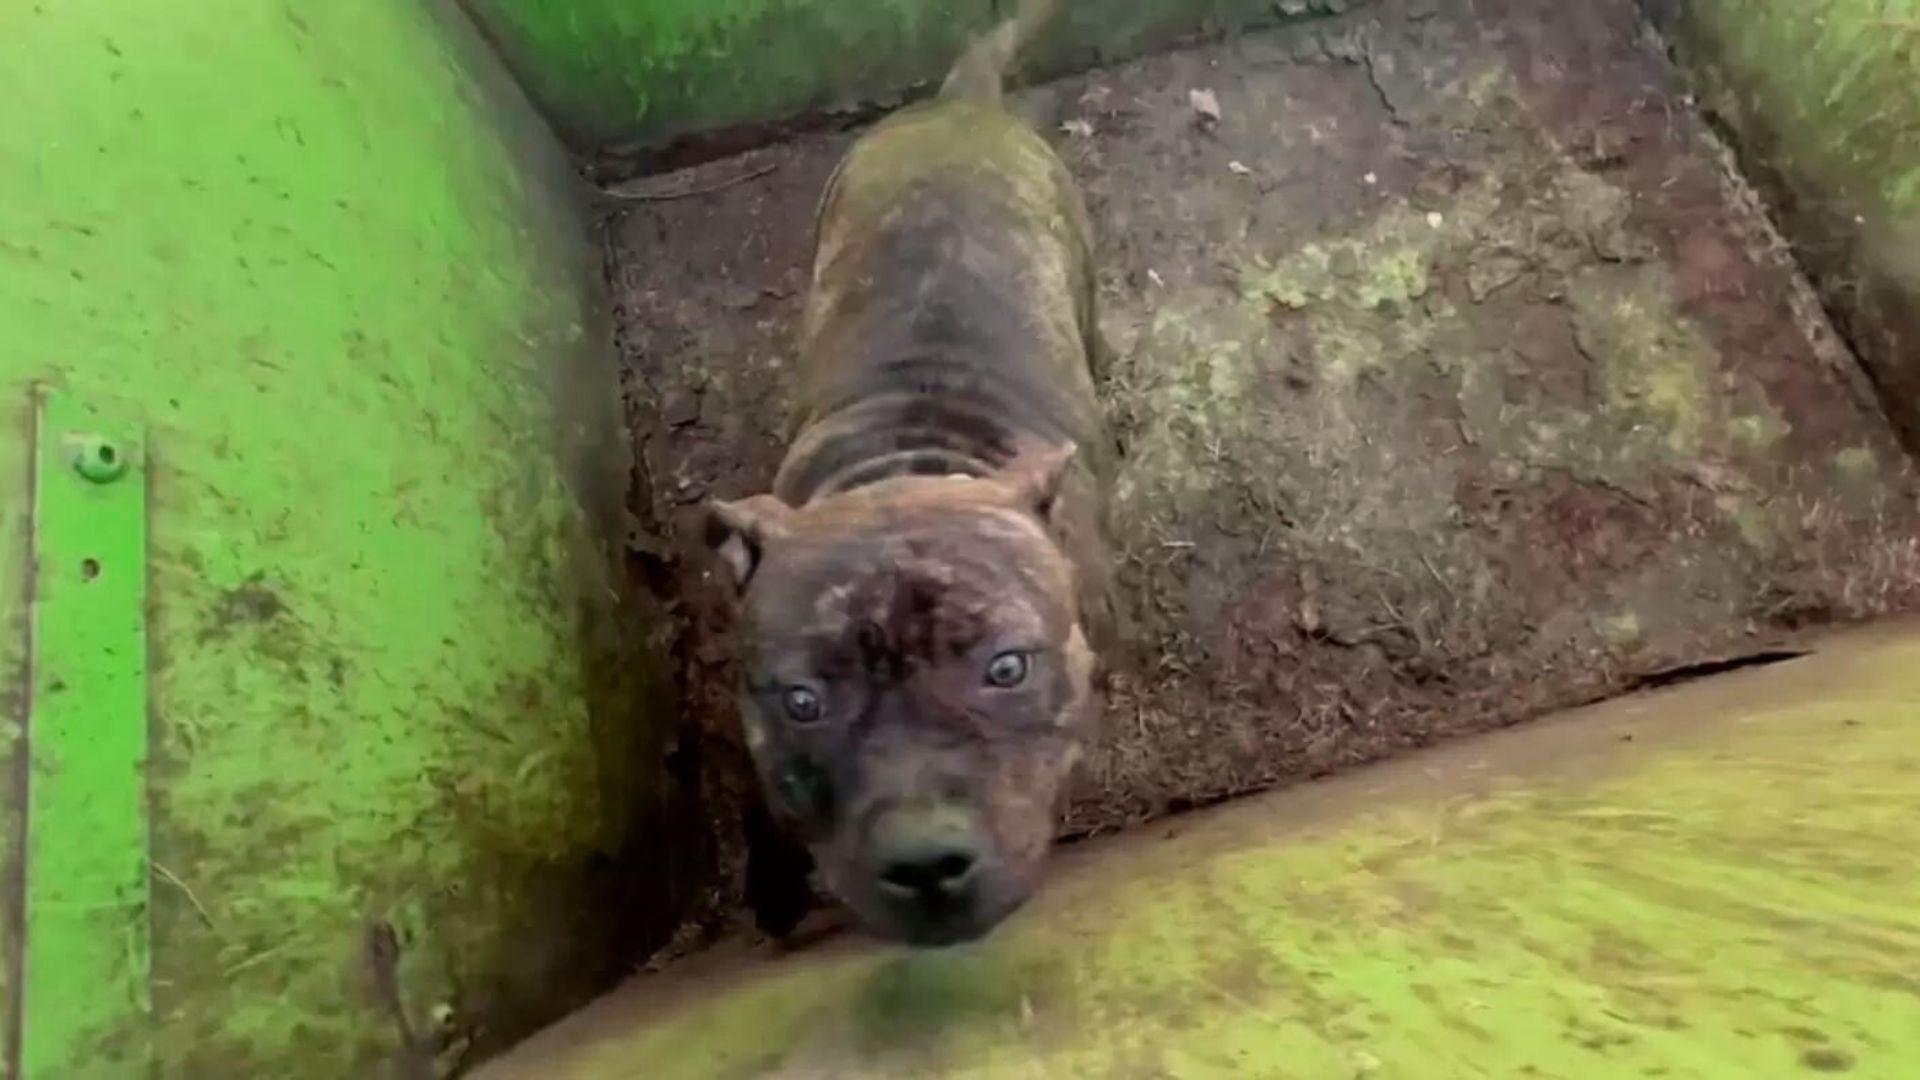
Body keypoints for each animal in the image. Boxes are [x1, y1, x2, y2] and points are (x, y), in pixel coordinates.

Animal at [706, 0, 1113, 941]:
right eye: (802, 701)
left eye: (1007, 668)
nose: (926, 861)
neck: (910, 458)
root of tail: (959, 106)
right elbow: (766, 811)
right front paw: (774, 891)